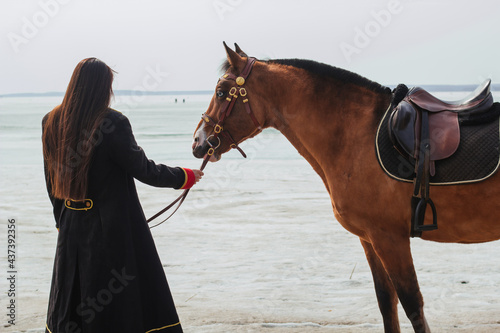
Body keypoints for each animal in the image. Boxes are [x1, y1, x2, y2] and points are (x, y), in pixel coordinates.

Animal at [190, 42, 500, 330]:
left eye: (221, 92)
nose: (198, 142)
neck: (358, 135)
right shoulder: (370, 239)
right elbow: (387, 302)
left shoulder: (390, 238)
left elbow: (413, 305)